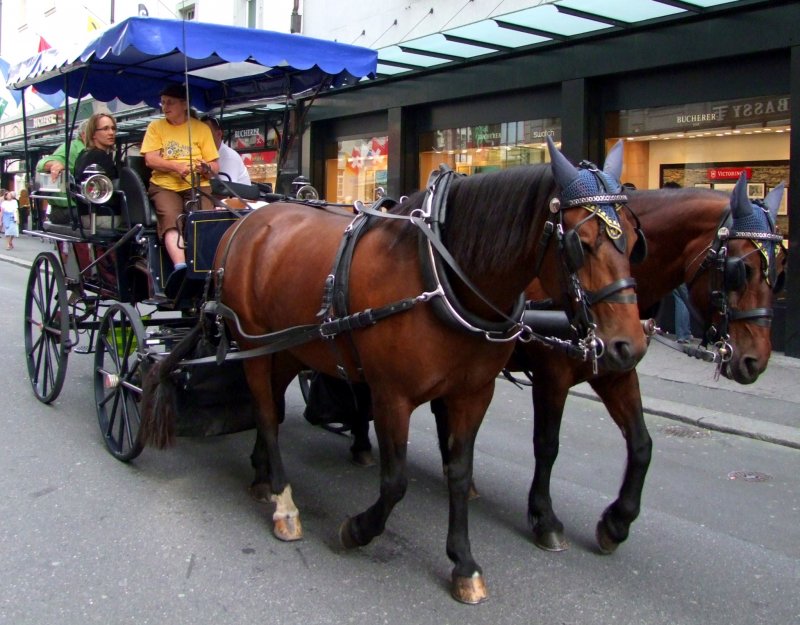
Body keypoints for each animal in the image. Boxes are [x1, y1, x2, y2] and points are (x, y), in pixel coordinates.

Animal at [141, 139, 648, 604]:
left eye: (632, 241)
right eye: (581, 244)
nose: (628, 346)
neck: (440, 274)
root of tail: (247, 218)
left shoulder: (472, 393)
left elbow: (458, 472)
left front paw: (464, 563)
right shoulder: (392, 395)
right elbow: (395, 481)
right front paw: (356, 529)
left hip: (287, 348)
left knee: (273, 413)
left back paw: (263, 477)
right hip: (253, 347)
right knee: (266, 415)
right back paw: (285, 504)